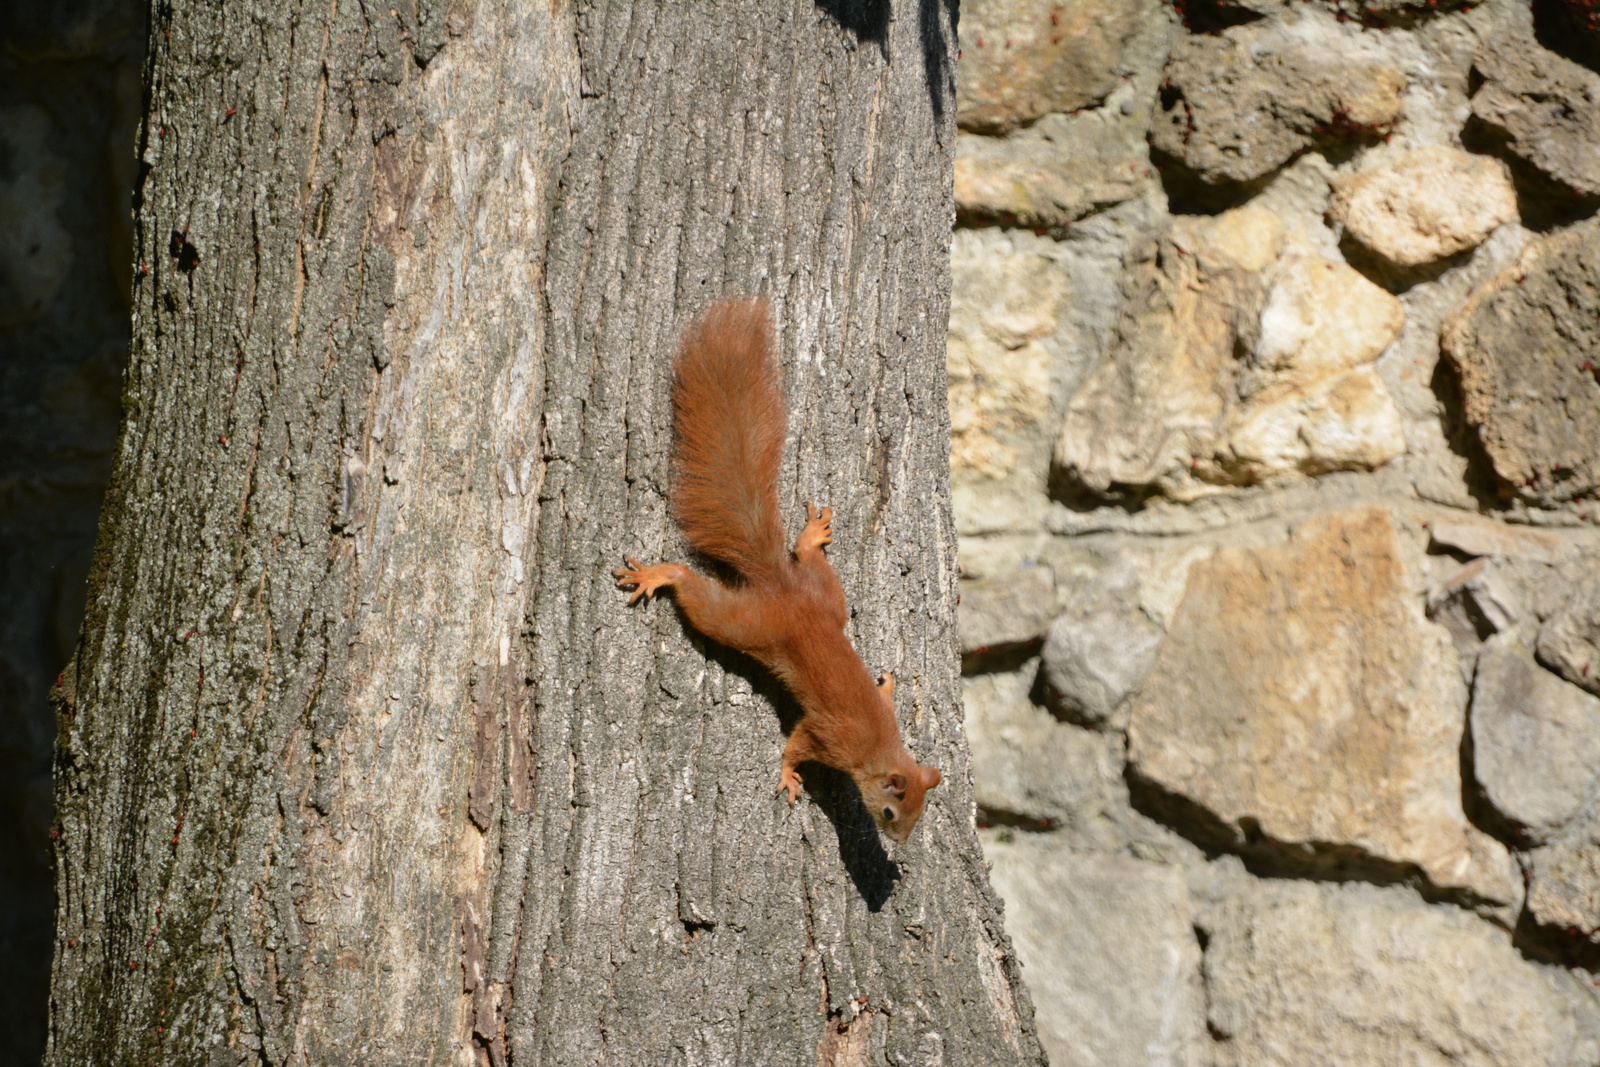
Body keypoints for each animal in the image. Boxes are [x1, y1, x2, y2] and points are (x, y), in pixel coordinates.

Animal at [608, 299, 934, 844]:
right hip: (748, 624)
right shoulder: (828, 737)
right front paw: (787, 775)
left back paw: (810, 539)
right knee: (699, 596)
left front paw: (887, 688)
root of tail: (783, 587)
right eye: (891, 813)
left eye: (918, 814)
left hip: (828, 599)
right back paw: (660, 575)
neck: (878, 748)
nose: (900, 844)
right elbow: (797, 744)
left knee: (812, 567)